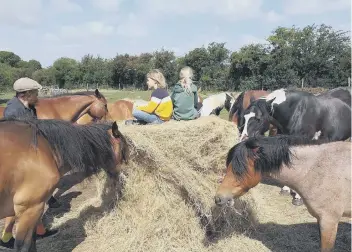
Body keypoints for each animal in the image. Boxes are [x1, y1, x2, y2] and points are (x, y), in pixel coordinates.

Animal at [0, 118, 129, 252]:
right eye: (123, 150)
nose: (126, 176)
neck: (43, 151)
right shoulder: (29, 208)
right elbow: (23, 246)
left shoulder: (33, 210)